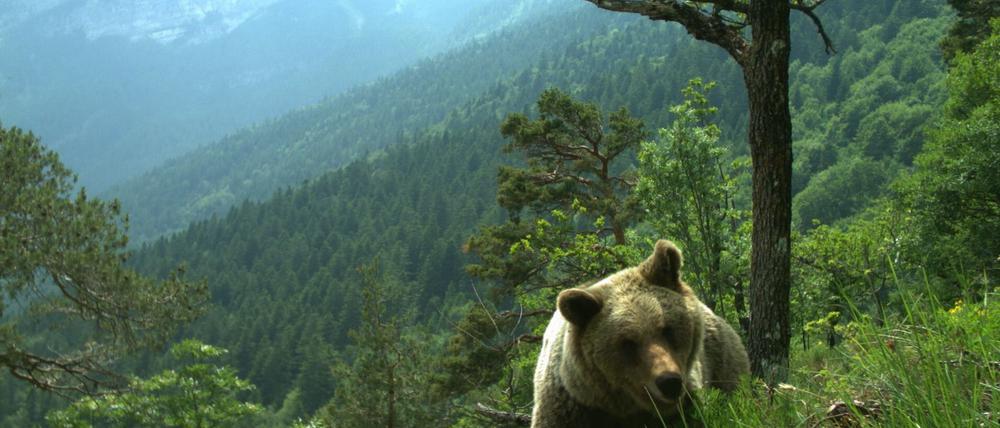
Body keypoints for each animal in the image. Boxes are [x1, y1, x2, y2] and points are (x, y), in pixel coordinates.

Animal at [530, 239, 750, 427]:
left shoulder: (686, 405)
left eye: (667, 329)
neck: (629, 409)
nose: (669, 382)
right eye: (627, 342)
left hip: (722, 363)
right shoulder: (573, 410)